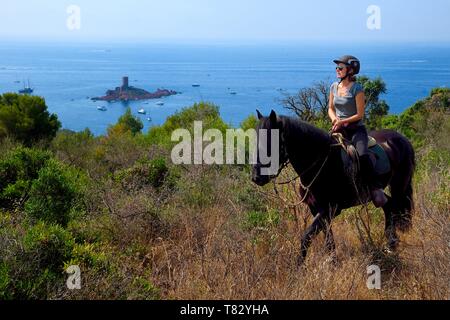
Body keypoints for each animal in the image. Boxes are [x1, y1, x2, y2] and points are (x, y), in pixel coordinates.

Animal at [251, 110, 416, 264]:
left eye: (270, 142)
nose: (256, 177)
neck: (322, 163)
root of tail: (402, 139)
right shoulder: (317, 210)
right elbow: (328, 238)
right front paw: (332, 260)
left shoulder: (330, 209)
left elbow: (306, 236)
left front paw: (298, 266)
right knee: (388, 206)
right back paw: (390, 244)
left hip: (399, 186)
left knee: (395, 206)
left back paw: (391, 243)